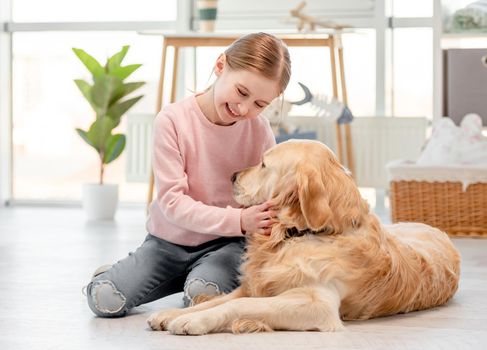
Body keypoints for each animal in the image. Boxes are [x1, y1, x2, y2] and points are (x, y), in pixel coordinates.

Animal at [149, 139, 462, 334]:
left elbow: (238, 304)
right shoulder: (254, 284)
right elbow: (220, 299)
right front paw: (172, 315)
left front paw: (195, 321)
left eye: (263, 164)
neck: (300, 233)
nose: (232, 176)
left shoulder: (316, 304)